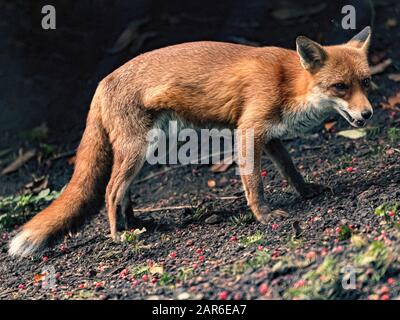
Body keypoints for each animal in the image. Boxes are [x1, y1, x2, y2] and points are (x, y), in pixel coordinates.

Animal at [8, 26, 372, 258]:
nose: (367, 114)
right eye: (340, 86)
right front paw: (265, 216)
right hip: (136, 149)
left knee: (124, 193)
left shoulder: (268, 136)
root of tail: (100, 83)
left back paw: (138, 223)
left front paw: (307, 191)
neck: (289, 82)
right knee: (111, 191)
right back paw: (120, 236)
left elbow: (291, 171)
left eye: (366, 82)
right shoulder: (249, 130)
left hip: (146, 149)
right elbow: (255, 184)